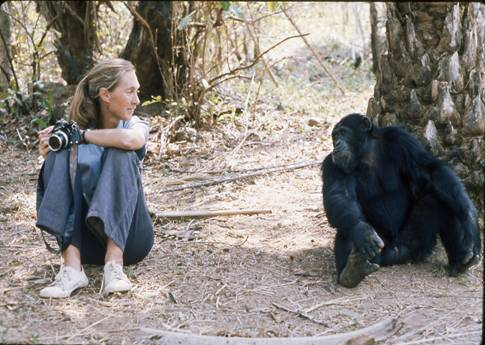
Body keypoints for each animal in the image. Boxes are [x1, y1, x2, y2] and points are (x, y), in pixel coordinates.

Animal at [322, 113, 480, 288]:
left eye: (343, 133)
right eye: (334, 136)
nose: (336, 143)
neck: (366, 153)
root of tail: (397, 252)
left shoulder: (401, 139)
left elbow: (432, 171)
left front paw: (470, 220)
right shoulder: (332, 164)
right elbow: (340, 196)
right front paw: (362, 231)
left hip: (419, 243)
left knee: (441, 200)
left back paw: (460, 260)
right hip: (380, 255)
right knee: (347, 225)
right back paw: (351, 271)